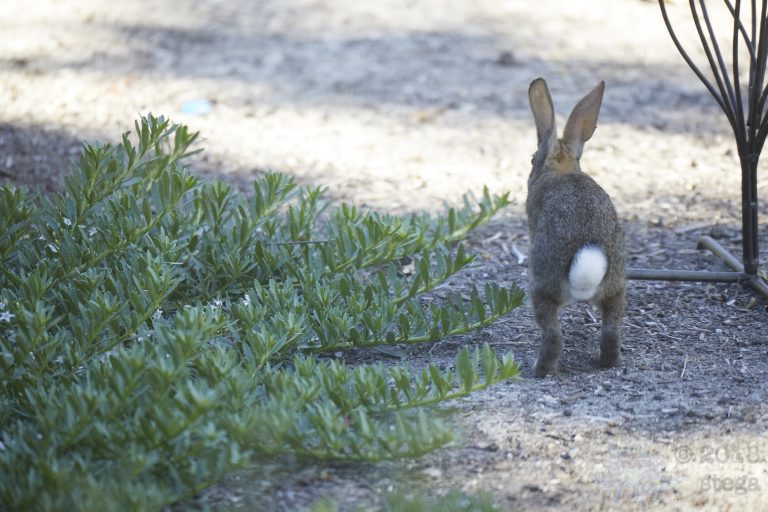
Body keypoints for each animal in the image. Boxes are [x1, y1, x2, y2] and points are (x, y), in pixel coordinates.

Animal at [526, 77, 626, 377]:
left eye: (532, 159)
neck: (562, 169)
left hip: (541, 286)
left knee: (553, 336)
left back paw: (538, 370)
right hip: (616, 287)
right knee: (611, 330)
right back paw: (606, 361)